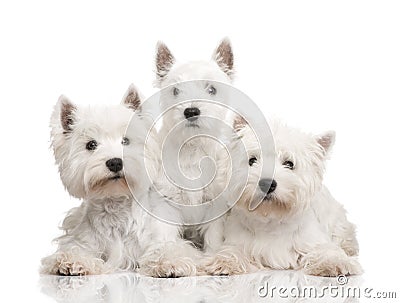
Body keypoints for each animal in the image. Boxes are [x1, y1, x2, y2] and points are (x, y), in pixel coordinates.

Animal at [40, 84, 181, 276]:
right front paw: (73, 262)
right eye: (91, 145)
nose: (115, 162)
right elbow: (76, 249)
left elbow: (166, 249)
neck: (117, 206)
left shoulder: (160, 237)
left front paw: (168, 263)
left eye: (125, 141)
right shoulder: (83, 241)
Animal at [203, 119, 362, 278]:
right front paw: (224, 262)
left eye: (289, 164)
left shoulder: (313, 240)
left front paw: (334, 263)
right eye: (252, 160)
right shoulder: (237, 241)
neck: (271, 219)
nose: (267, 184)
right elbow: (231, 250)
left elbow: (327, 249)